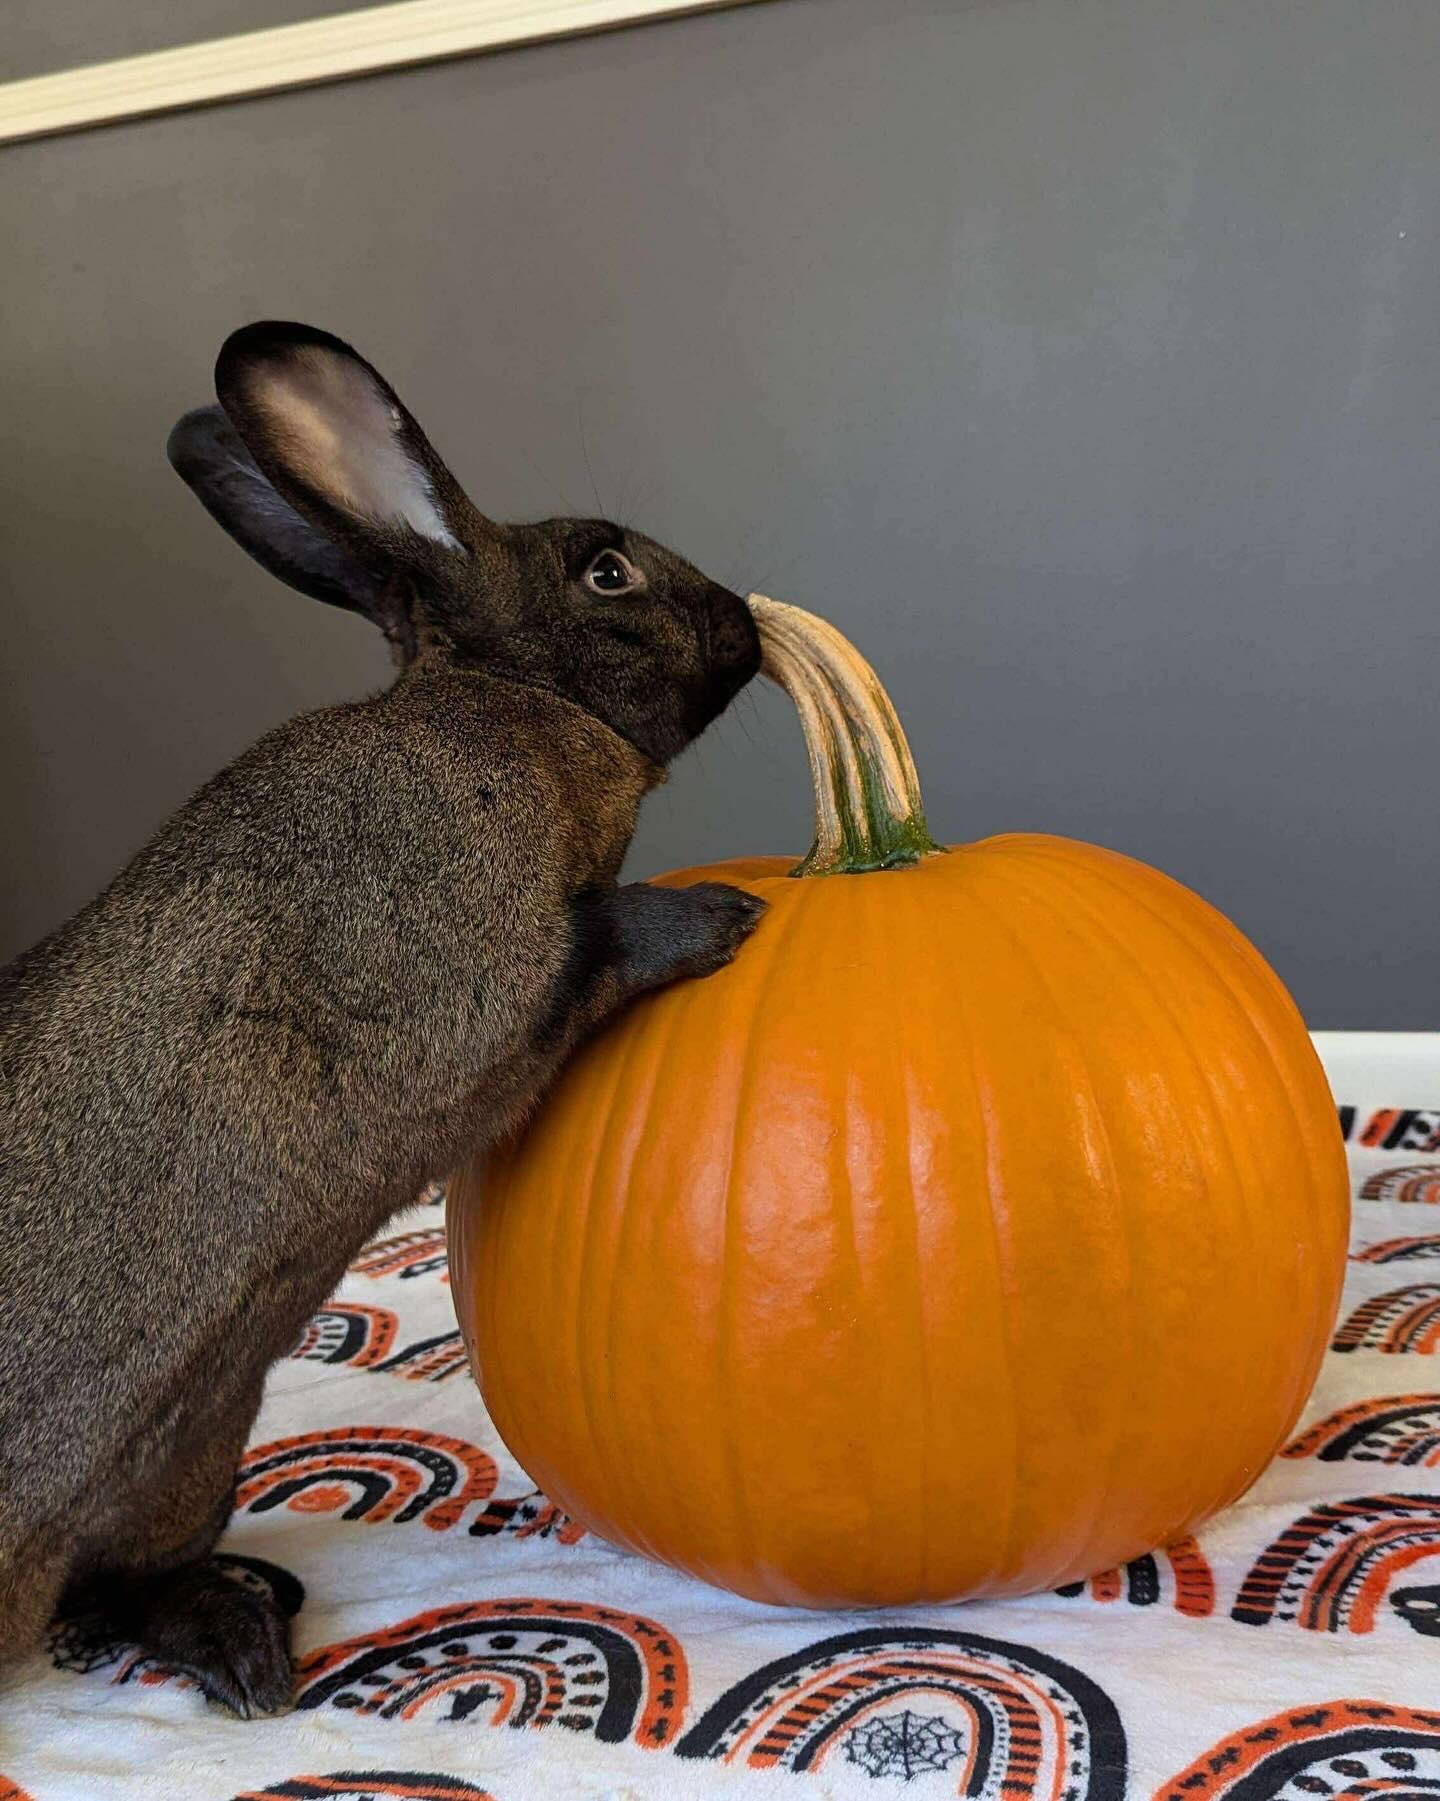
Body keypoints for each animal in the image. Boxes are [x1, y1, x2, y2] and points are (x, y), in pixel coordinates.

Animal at [0, 321, 767, 1718]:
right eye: (608, 568)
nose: (741, 615)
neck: (515, 703)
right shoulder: (473, 967)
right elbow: (597, 947)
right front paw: (719, 918)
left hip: (187, 1463)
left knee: (118, 1585)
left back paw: (245, 1639)